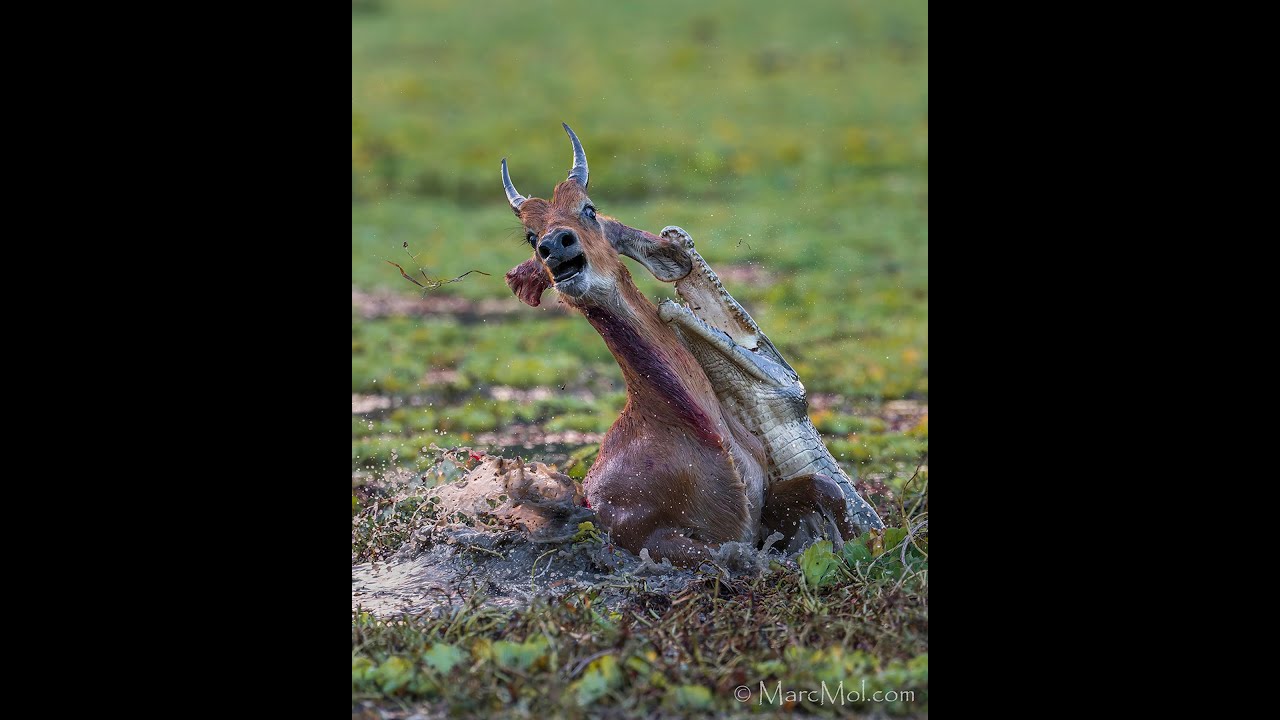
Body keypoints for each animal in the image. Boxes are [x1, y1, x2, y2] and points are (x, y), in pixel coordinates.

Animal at [502, 124, 878, 567]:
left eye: (589, 209)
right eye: (530, 237)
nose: (555, 246)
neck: (691, 424)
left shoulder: (762, 506)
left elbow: (826, 488)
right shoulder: (658, 538)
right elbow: (736, 556)